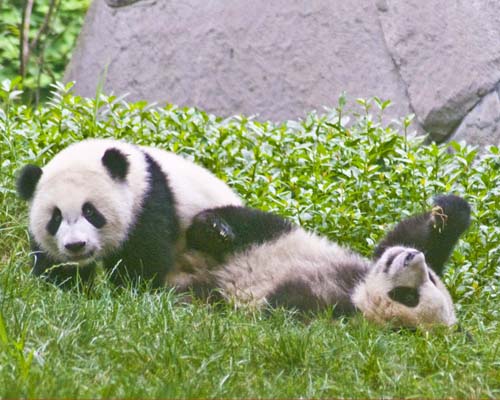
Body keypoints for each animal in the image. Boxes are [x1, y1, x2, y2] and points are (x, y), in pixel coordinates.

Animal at [18, 139, 245, 290]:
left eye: (90, 211)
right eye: (56, 218)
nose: (76, 245)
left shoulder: (148, 203)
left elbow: (143, 259)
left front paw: (130, 291)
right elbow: (55, 267)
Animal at [170, 195, 470, 328]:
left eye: (408, 297)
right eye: (430, 278)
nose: (410, 257)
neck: (357, 290)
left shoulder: (339, 313)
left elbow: (287, 310)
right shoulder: (367, 264)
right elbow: (403, 239)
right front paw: (447, 214)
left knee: (203, 295)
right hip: (270, 236)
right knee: (248, 225)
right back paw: (214, 229)